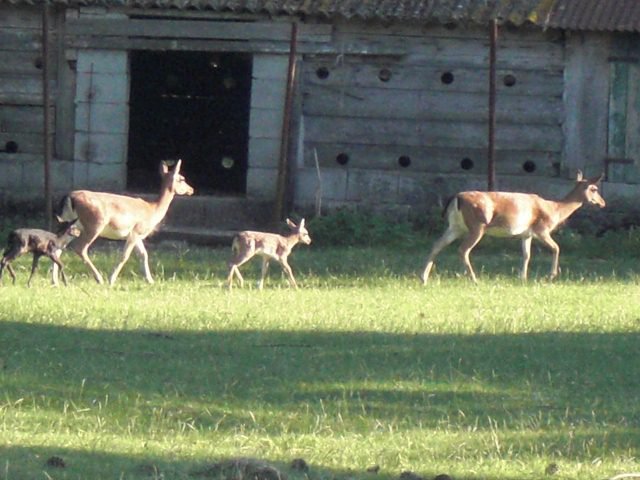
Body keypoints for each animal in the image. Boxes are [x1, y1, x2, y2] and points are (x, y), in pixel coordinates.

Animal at [56, 160, 192, 284]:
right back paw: (99, 279)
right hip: (94, 225)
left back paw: (55, 281)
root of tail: (70, 197)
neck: (152, 210)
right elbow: (125, 256)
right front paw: (111, 279)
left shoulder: (138, 236)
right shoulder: (135, 232)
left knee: (59, 246)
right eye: (182, 179)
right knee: (80, 248)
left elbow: (144, 255)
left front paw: (150, 280)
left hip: (73, 225)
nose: (191, 189)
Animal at [422, 172, 608, 284]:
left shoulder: (526, 234)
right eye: (594, 189)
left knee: (436, 244)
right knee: (463, 249)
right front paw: (551, 275)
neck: (555, 209)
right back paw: (474, 280)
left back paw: (423, 278)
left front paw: (522, 278)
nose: (603, 203)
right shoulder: (542, 229)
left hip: (456, 226)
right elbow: (556, 247)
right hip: (477, 224)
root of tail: (457, 197)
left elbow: (526, 255)